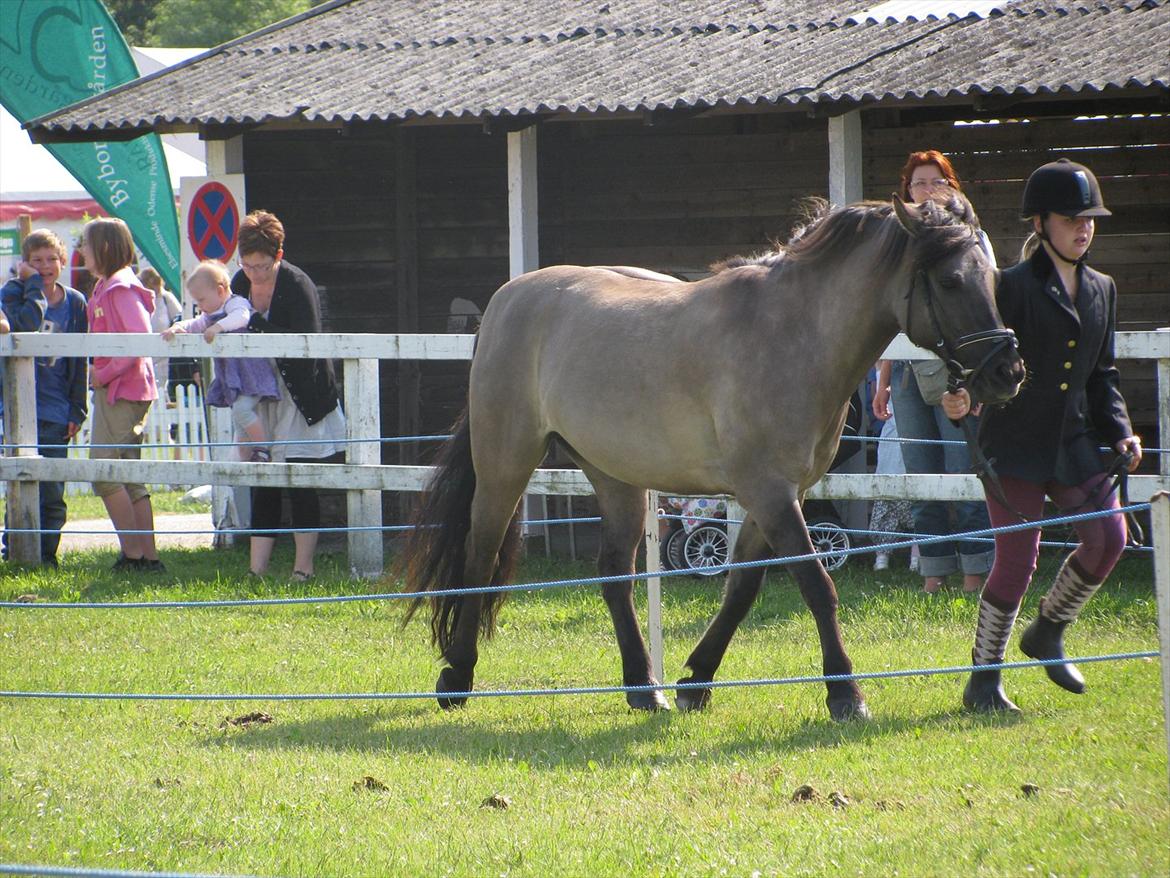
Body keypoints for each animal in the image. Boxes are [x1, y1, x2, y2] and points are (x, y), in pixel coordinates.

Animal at [402, 194, 1024, 721]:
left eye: (992, 278)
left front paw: (696, 682)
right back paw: (457, 678)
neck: (792, 335)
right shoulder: (770, 492)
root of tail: (507, 299)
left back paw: (643, 688)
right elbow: (816, 583)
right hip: (506, 462)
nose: (1007, 372)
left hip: (616, 477)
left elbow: (742, 588)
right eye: (950, 280)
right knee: (480, 558)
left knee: (614, 574)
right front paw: (845, 692)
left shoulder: (778, 495)